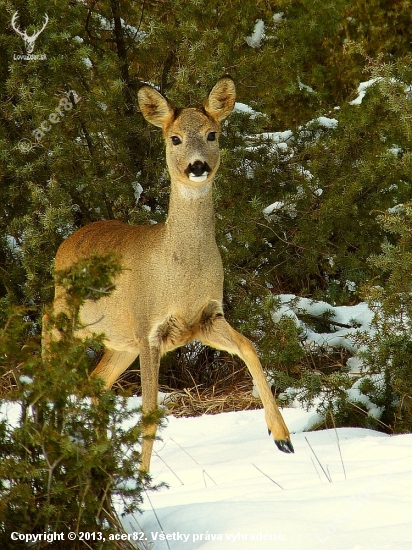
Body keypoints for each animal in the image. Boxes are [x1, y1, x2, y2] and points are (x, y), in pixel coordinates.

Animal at [44, 77, 292, 474]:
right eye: (174, 138)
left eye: (212, 134)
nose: (197, 165)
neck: (181, 274)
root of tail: (66, 242)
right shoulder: (149, 329)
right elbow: (149, 412)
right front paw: (143, 478)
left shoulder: (205, 318)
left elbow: (249, 347)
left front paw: (282, 437)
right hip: (73, 315)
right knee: (46, 329)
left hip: (120, 341)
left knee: (96, 381)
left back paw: (100, 459)